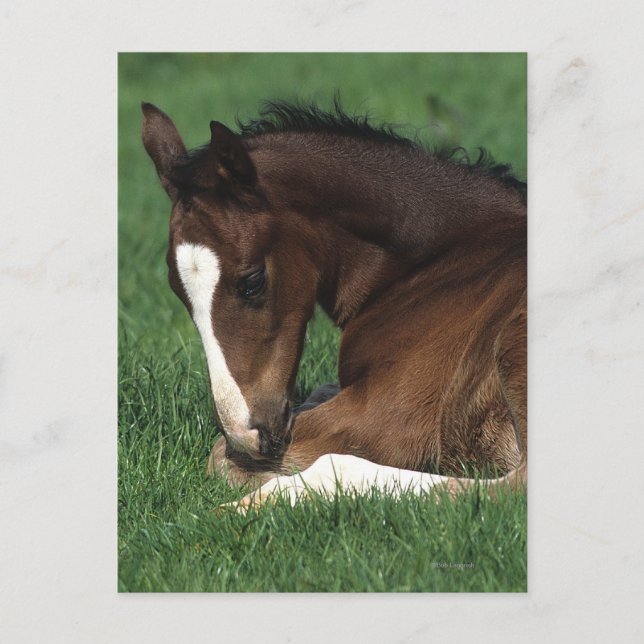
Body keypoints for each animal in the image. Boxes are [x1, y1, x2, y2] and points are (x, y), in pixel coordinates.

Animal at [141, 100, 527, 510]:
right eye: (177, 290)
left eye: (252, 281)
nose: (246, 434)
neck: (440, 262)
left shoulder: (392, 414)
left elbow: (219, 457)